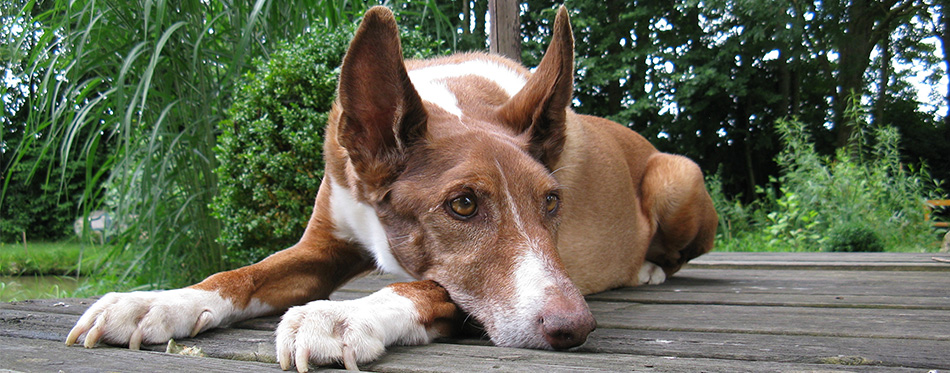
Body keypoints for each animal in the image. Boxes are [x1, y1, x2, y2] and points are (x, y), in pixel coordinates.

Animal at [65, 6, 712, 372]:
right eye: (463, 203)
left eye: (552, 203)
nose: (574, 327)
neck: (456, 98)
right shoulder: (323, 245)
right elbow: (240, 274)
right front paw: (155, 302)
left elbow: (430, 286)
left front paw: (344, 316)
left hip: (678, 175)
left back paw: (648, 270)